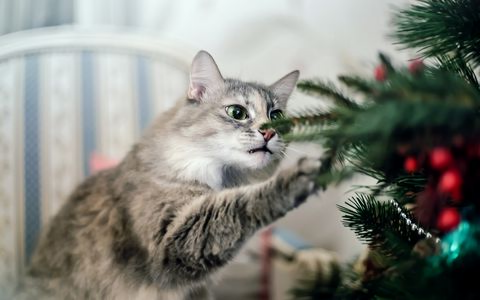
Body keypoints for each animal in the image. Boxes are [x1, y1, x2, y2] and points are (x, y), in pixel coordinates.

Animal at [15, 50, 322, 298]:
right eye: (237, 112)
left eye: (277, 116)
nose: (269, 133)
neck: (224, 179)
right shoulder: (172, 240)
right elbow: (243, 203)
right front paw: (302, 175)